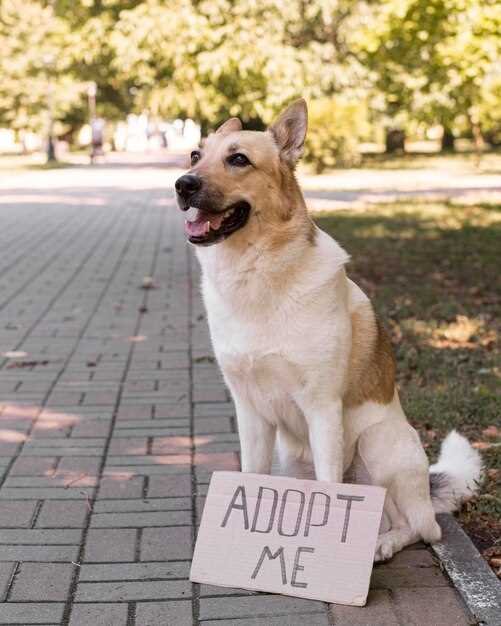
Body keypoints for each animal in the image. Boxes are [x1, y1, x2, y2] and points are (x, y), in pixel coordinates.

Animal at [175, 98, 480, 560]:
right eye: (196, 154)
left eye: (238, 159)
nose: (182, 184)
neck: (257, 275)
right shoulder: (250, 411)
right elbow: (251, 477)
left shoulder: (321, 407)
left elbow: (328, 490)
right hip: (290, 455)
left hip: (376, 444)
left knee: (420, 528)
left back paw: (383, 545)